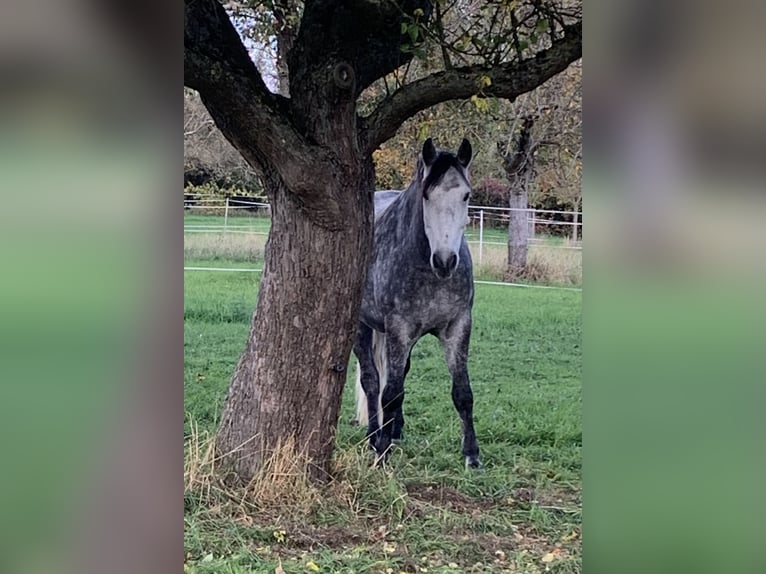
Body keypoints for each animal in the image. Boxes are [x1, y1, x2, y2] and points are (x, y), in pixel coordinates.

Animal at [353, 138, 481, 468]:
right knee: (372, 381)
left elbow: (462, 393)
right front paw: (382, 451)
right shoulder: (398, 329)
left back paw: (395, 429)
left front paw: (472, 455)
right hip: (362, 327)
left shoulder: (458, 326)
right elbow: (390, 392)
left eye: (466, 195)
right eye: (426, 194)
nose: (446, 261)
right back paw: (374, 435)